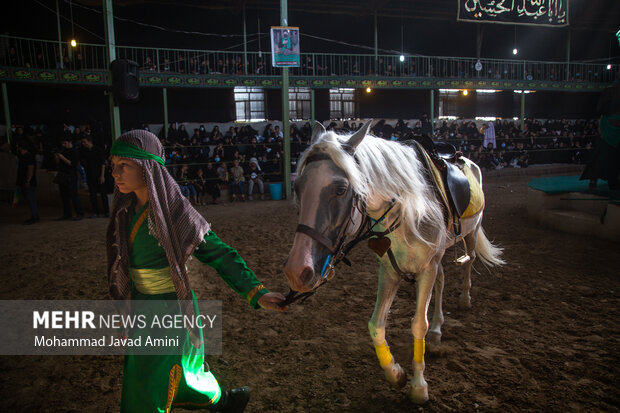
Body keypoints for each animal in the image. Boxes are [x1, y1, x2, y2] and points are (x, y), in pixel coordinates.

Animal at [284, 121, 506, 402]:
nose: (296, 270)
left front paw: (419, 386)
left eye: (341, 189)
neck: (409, 212)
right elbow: (376, 325)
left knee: (469, 261)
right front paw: (396, 373)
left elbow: (418, 325)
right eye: (298, 188)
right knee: (442, 281)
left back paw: (465, 298)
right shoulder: (390, 271)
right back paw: (438, 329)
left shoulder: (426, 269)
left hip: (471, 232)